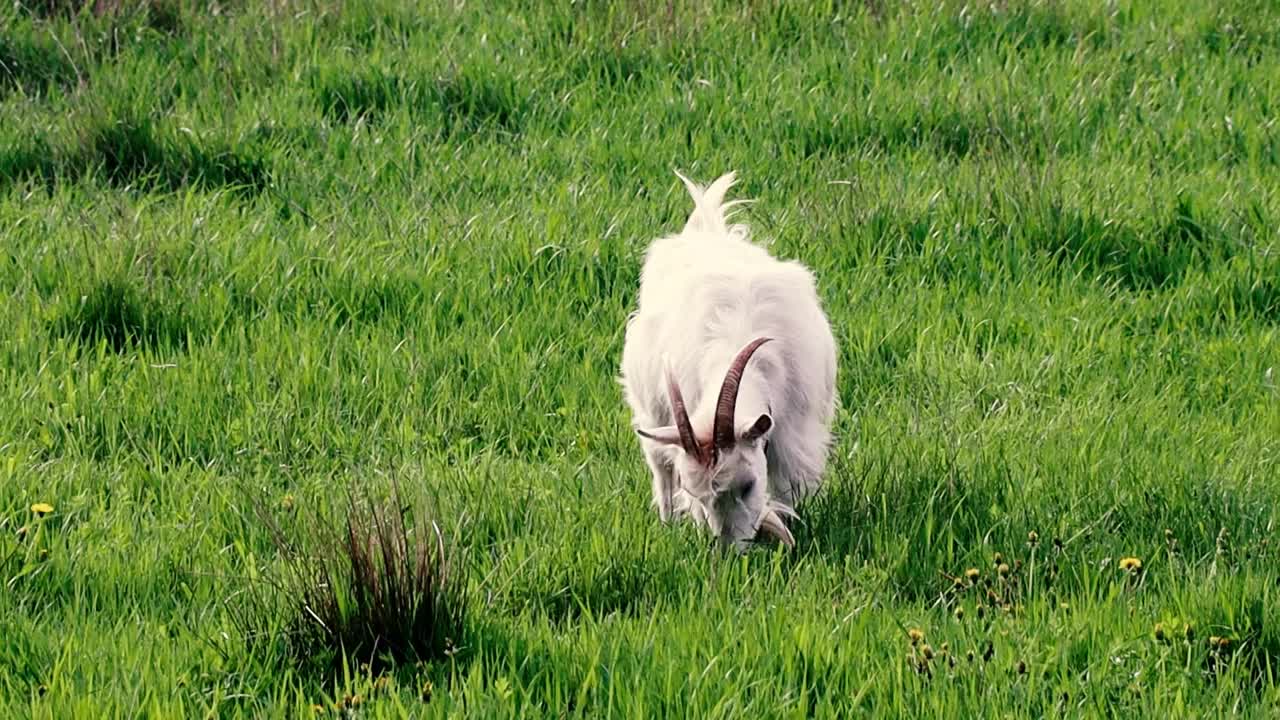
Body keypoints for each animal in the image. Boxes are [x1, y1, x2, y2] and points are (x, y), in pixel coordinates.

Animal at [619, 169, 839, 548]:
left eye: (747, 485)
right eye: (698, 495)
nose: (730, 551)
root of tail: (706, 228)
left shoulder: (795, 436)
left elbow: (790, 489)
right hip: (652, 416)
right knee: (660, 470)